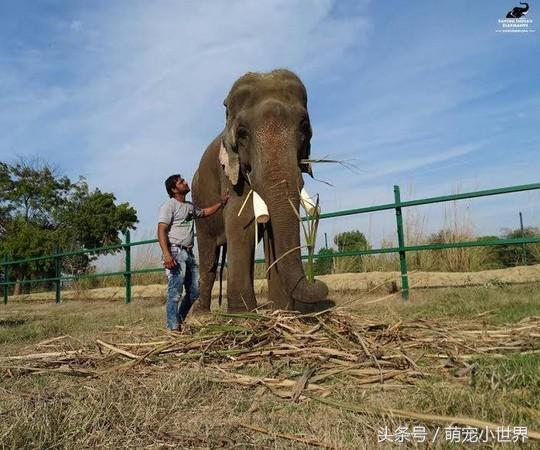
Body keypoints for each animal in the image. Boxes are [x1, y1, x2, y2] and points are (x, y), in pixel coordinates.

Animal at [194, 68, 330, 312]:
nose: (317, 282)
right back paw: (200, 313)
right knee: (208, 259)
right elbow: (242, 223)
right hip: (199, 208)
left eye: (304, 128)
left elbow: (270, 230)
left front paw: (281, 310)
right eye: (242, 133)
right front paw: (243, 315)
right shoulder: (230, 174)